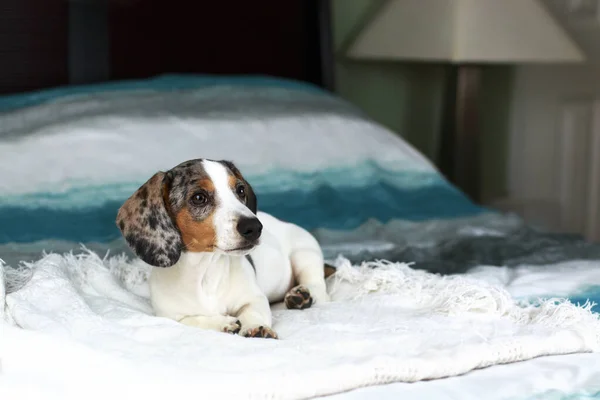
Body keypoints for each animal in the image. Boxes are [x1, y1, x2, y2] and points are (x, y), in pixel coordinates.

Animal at [117, 158, 332, 340]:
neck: (205, 272)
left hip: (304, 253)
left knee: (319, 287)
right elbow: (193, 320)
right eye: (199, 197)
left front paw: (256, 328)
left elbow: (253, 311)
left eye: (240, 190)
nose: (254, 227)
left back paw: (302, 294)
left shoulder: (254, 298)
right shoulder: (169, 315)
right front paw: (223, 323)